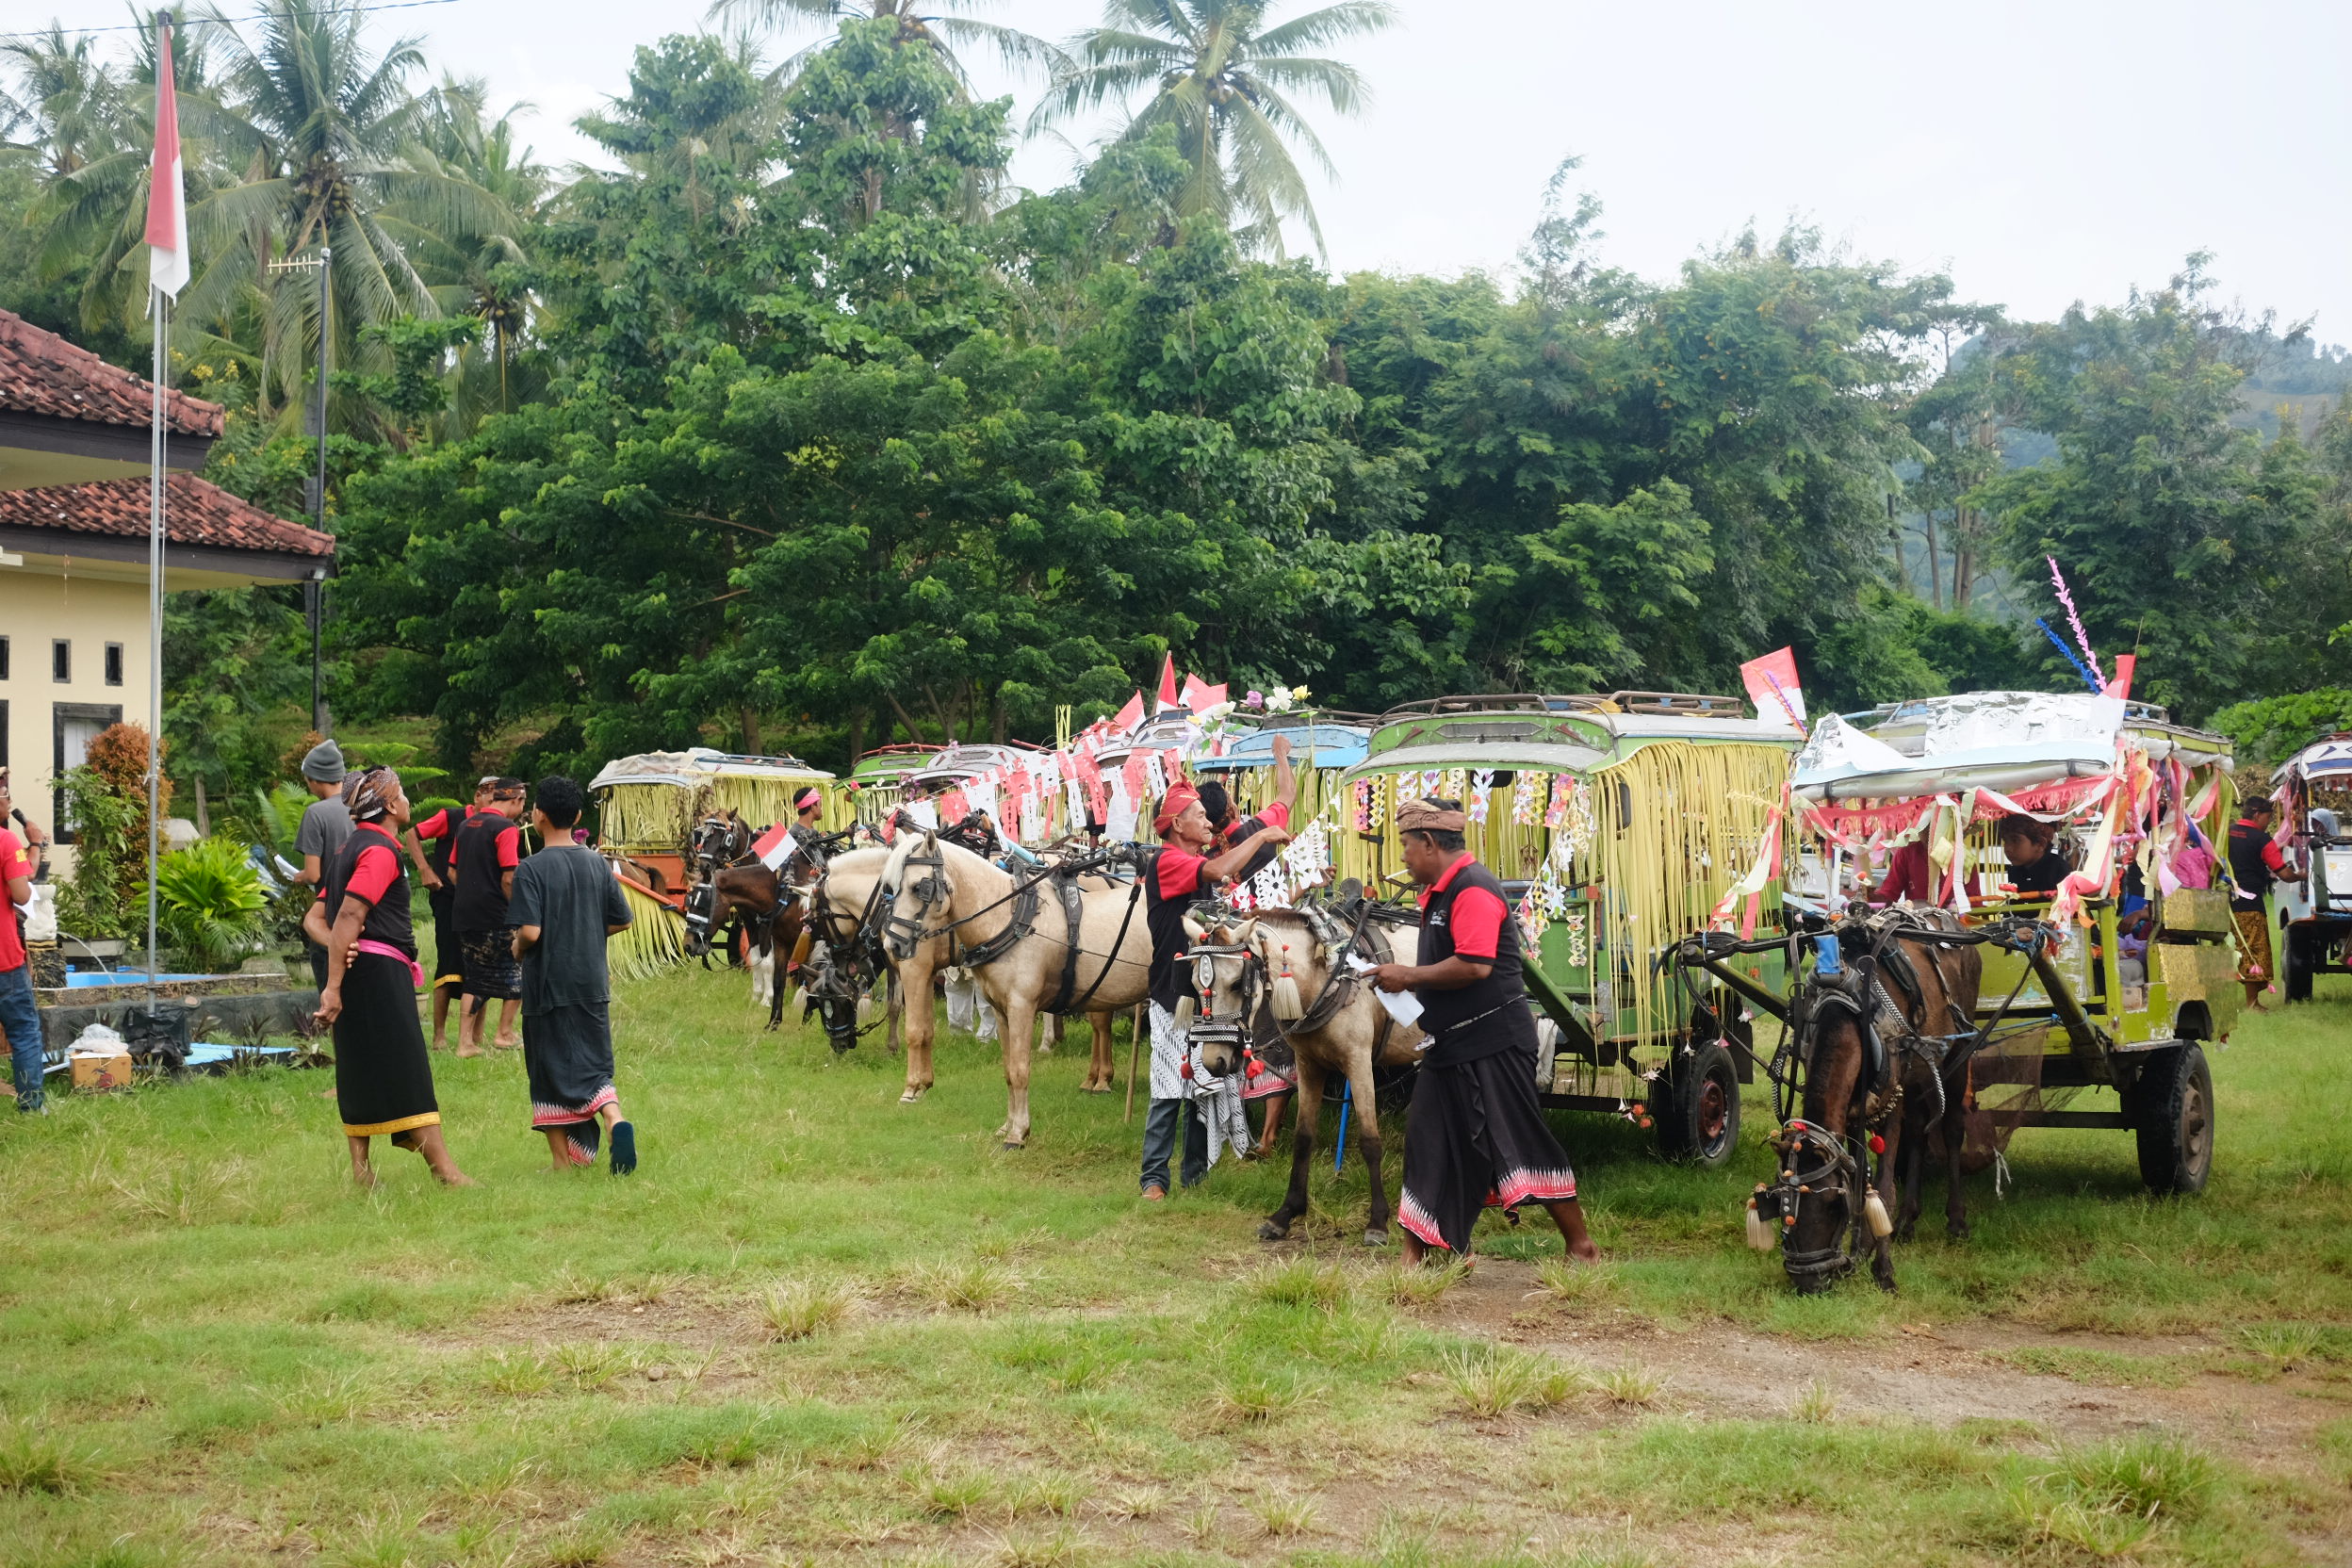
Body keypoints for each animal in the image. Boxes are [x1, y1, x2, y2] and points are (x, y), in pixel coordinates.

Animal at [877, 832, 1144, 1146]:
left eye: (918, 887)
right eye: (890, 889)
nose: (893, 945)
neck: (1013, 920)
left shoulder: (1021, 1007)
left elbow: (1019, 1070)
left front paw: (1018, 1134)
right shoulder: (1001, 1010)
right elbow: (1007, 1070)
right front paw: (1008, 1126)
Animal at [1185, 902, 1426, 1247]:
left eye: (1236, 984)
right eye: (1194, 984)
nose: (1214, 1060)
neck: (1327, 978)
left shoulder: (1359, 1063)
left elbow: (1370, 1141)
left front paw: (1378, 1221)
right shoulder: (1309, 1065)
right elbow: (1303, 1137)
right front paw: (1286, 1213)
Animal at [1764, 908, 1986, 1294]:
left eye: (1829, 1203)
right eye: (1778, 1201)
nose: (1808, 1282)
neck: (1849, 1009)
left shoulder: (1889, 1100)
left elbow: (1881, 1186)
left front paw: (1883, 1269)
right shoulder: (1857, 1105)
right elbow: (1859, 1170)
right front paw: (1865, 1244)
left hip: (1957, 1054)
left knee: (1952, 1130)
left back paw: (1956, 1221)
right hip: (1918, 1075)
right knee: (1919, 1132)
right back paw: (1908, 1221)